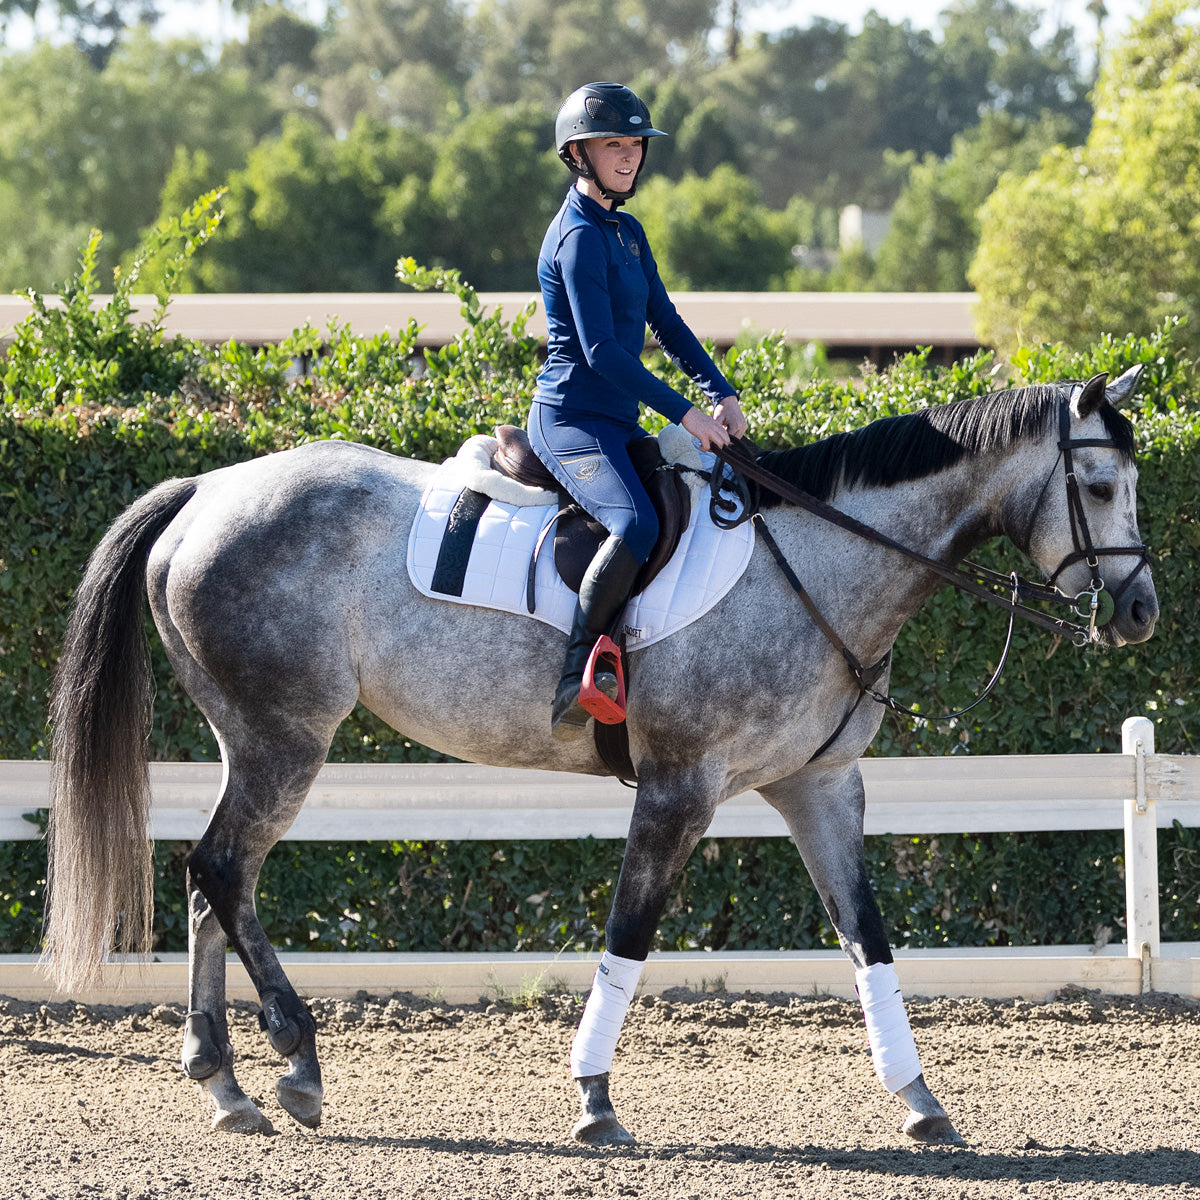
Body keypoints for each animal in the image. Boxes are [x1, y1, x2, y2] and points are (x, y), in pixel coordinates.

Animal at [42, 364, 1156, 1142]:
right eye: (1100, 483)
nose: (1141, 612)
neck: (820, 561)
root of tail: (205, 491)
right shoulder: (678, 790)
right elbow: (630, 935)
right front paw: (593, 1099)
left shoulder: (821, 787)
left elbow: (870, 943)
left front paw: (922, 1102)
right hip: (284, 743)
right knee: (223, 871)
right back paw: (296, 1060)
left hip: (253, 745)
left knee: (211, 884)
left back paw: (226, 1081)